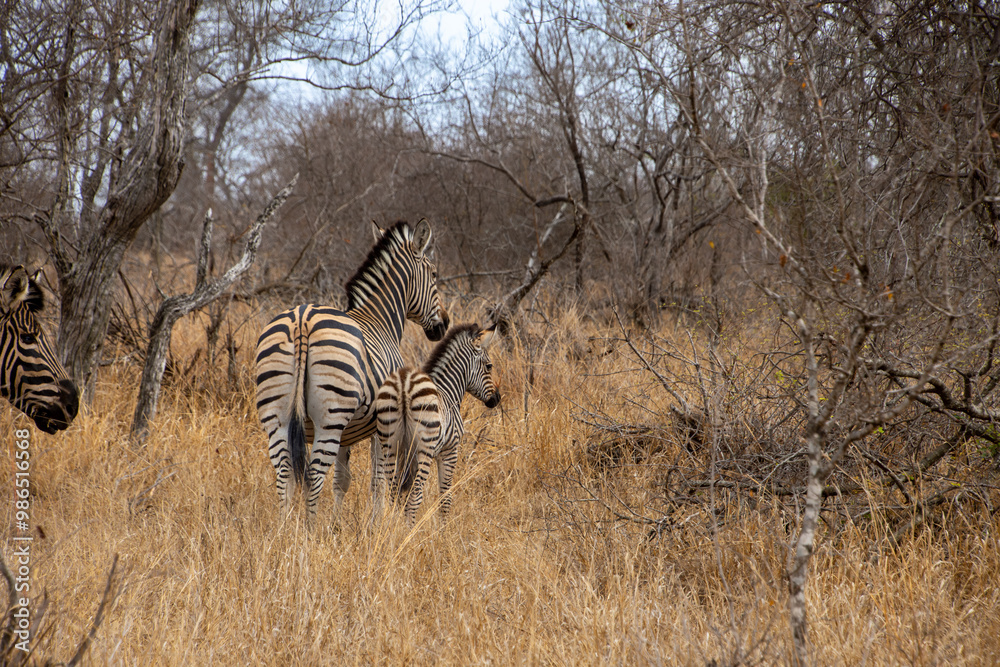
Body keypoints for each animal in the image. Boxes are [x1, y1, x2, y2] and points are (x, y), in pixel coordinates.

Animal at [255, 219, 450, 523]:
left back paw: (285, 528)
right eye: (434, 274)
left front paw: (338, 523)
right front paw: (377, 522)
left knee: (285, 473)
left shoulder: (348, 432)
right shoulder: (382, 424)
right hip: (330, 418)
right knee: (314, 474)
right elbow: (379, 479)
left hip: (275, 416)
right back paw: (310, 531)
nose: (444, 325)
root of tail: (302, 319)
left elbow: (342, 480)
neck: (380, 320)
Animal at [373, 322, 500, 524]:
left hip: (390, 444)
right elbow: (445, 496)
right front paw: (443, 527)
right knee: (415, 497)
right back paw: (410, 530)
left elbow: (403, 495)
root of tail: (404, 383)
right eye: (489, 366)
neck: (448, 390)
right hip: (424, 449)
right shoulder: (450, 450)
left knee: (394, 494)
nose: (497, 399)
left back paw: (394, 529)